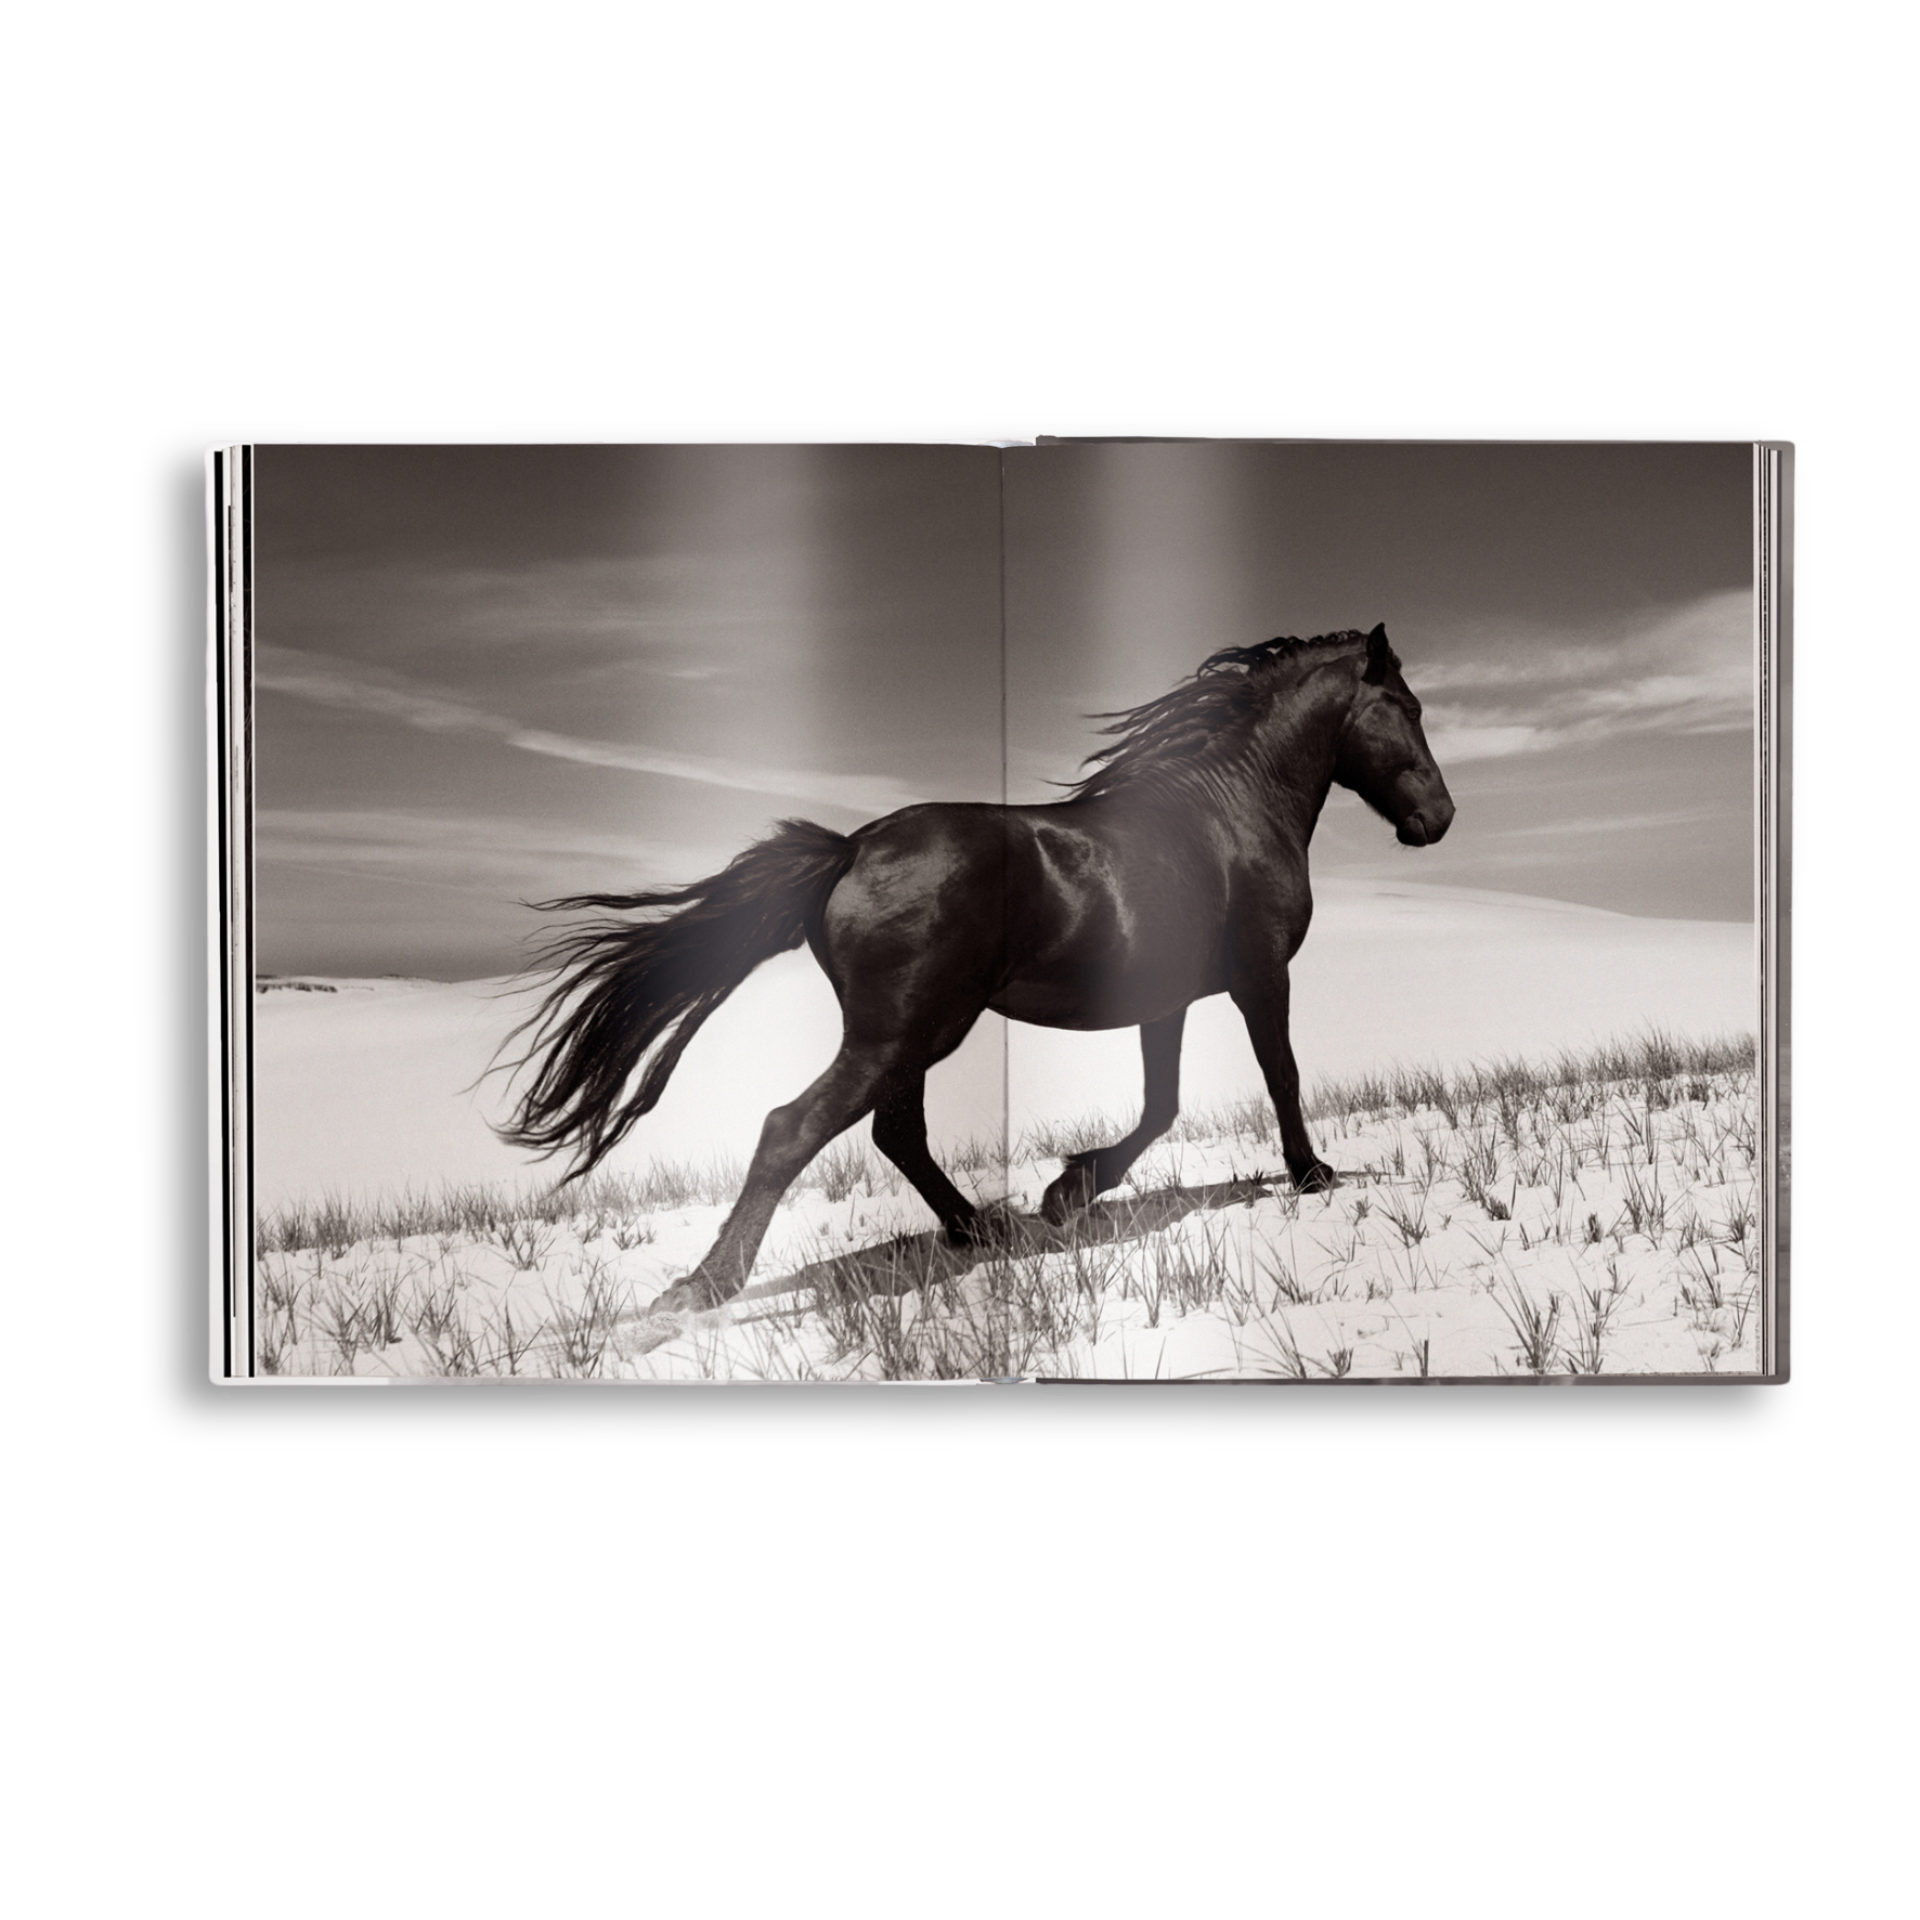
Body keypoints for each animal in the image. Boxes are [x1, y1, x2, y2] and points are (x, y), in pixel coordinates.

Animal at [494, 623, 1453, 1314]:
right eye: (1406, 707)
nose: (1439, 819)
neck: (1228, 813)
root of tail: (849, 851)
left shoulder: (1166, 1001)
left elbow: (1163, 1103)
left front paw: (1069, 1191)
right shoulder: (1261, 977)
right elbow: (1278, 1076)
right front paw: (1312, 1174)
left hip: (913, 1033)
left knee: (895, 1135)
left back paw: (978, 1229)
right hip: (905, 1031)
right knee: (790, 1129)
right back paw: (704, 1285)